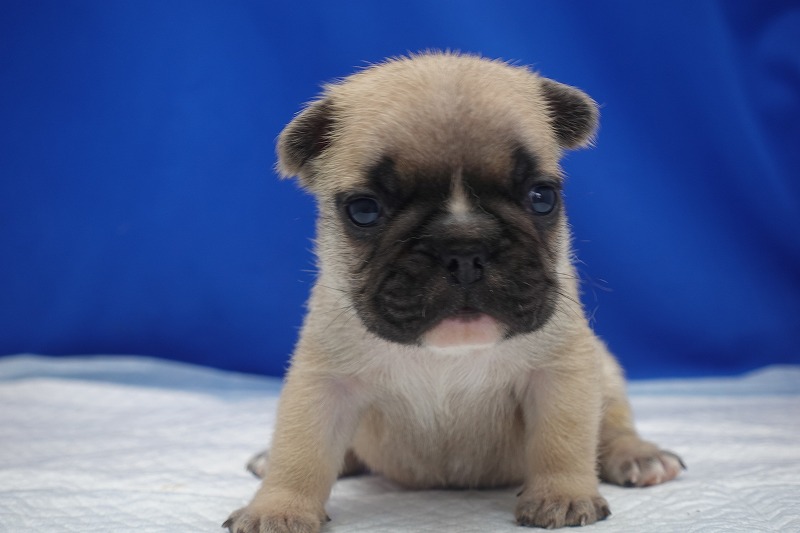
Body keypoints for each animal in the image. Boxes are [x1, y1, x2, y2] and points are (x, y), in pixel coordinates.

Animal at [225, 52, 684, 532]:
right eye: (364, 210)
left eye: (542, 197)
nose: (465, 249)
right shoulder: (324, 382)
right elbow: (301, 450)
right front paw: (278, 507)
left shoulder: (560, 371)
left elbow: (563, 439)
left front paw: (562, 494)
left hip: (606, 373)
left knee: (612, 425)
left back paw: (638, 456)